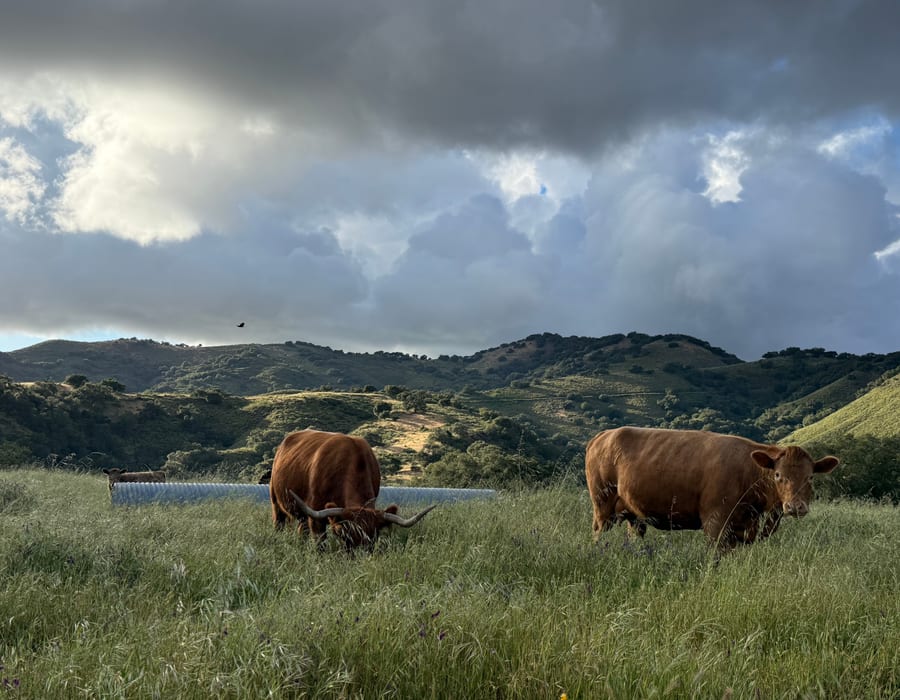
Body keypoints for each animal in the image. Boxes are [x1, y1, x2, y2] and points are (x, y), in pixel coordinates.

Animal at [269, 429, 435, 550]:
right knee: (279, 523)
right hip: (276, 503)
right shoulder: (316, 516)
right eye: (346, 534)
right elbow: (320, 544)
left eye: (374, 535)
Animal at [585, 427, 839, 553]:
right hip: (602, 505)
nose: (796, 507)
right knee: (598, 534)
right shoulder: (715, 522)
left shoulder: (744, 527)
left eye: (810, 477)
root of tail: (604, 435)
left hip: (634, 514)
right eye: (778, 475)